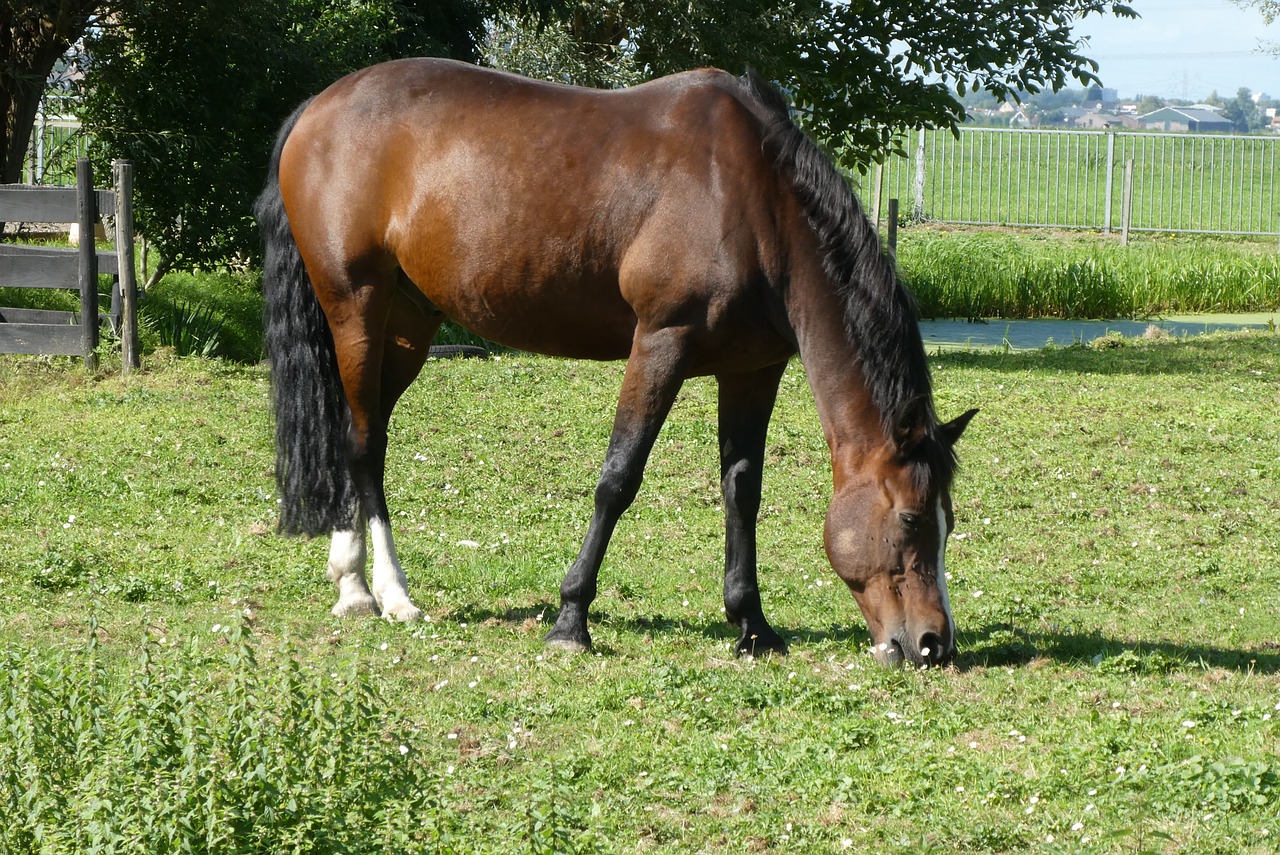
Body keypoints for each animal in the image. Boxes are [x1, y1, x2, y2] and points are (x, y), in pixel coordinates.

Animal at [259, 56, 977, 665]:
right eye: (912, 517)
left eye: (948, 520)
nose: (932, 643)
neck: (751, 200)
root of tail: (317, 108)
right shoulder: (661, 343)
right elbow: (617, 480)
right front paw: (570, 619)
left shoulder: (752, 369)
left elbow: (742, 490)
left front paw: (752, 625)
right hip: (356, 307)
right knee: (363, 444)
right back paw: (383, 592)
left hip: (409, 324)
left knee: (360, 436)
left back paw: (355, 582)